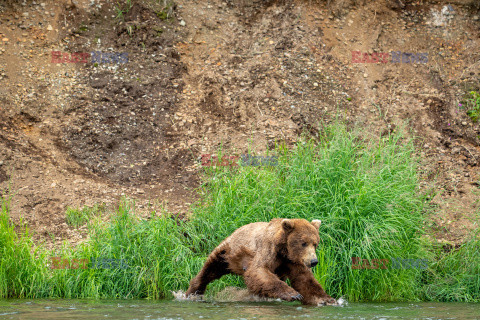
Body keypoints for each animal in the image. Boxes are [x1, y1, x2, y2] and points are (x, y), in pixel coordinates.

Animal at [186, 218, 336, 304]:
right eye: (303, 243)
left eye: (315, 243)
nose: (314, 261)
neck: (284, 250)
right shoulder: (268, 249)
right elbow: (259, 270)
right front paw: (294, 294)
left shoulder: (293, 261)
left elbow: (305, 280)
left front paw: (327, 299)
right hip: (226, 251)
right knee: (210, 268)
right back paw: (193, 291)